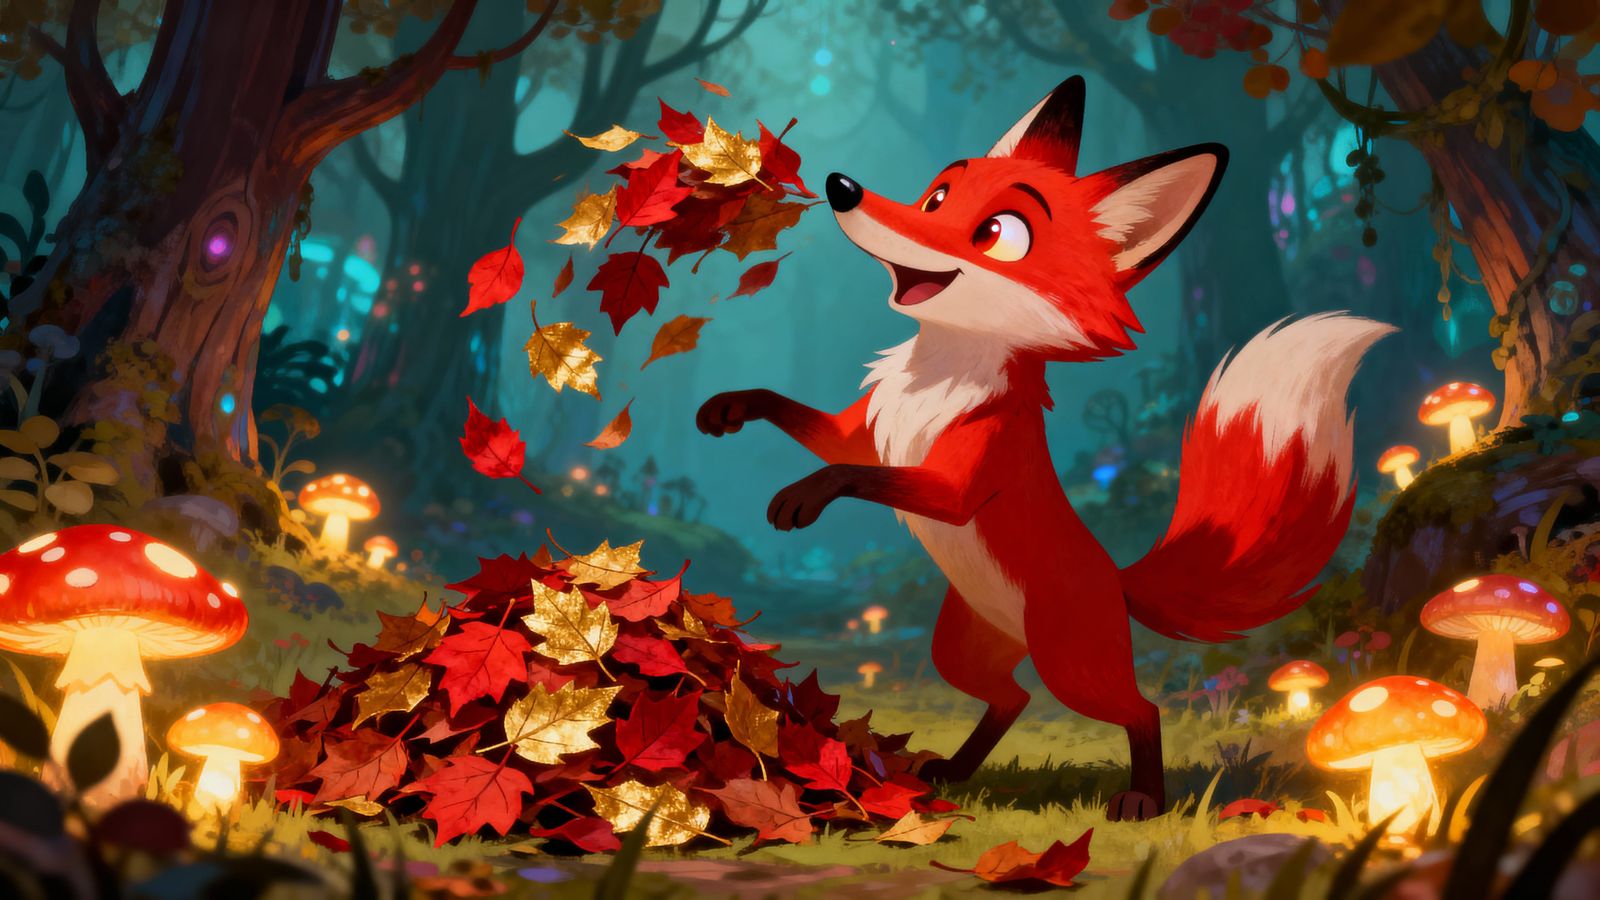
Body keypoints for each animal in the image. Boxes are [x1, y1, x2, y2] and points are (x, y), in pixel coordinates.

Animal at [696, 76, 1394, 821]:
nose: (842, 186)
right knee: (1013, 697)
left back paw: (1144, 798)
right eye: (936, 197)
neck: (935, 377)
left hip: (1072, 665)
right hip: (961, 651)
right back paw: (952, 772)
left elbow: (851, 472)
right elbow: (811, 425)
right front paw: (730, 407)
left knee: (1137, 708)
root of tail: (1115, 577)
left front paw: (804, 495)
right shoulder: (864, 429)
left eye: (998, 234)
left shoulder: (962, 479)